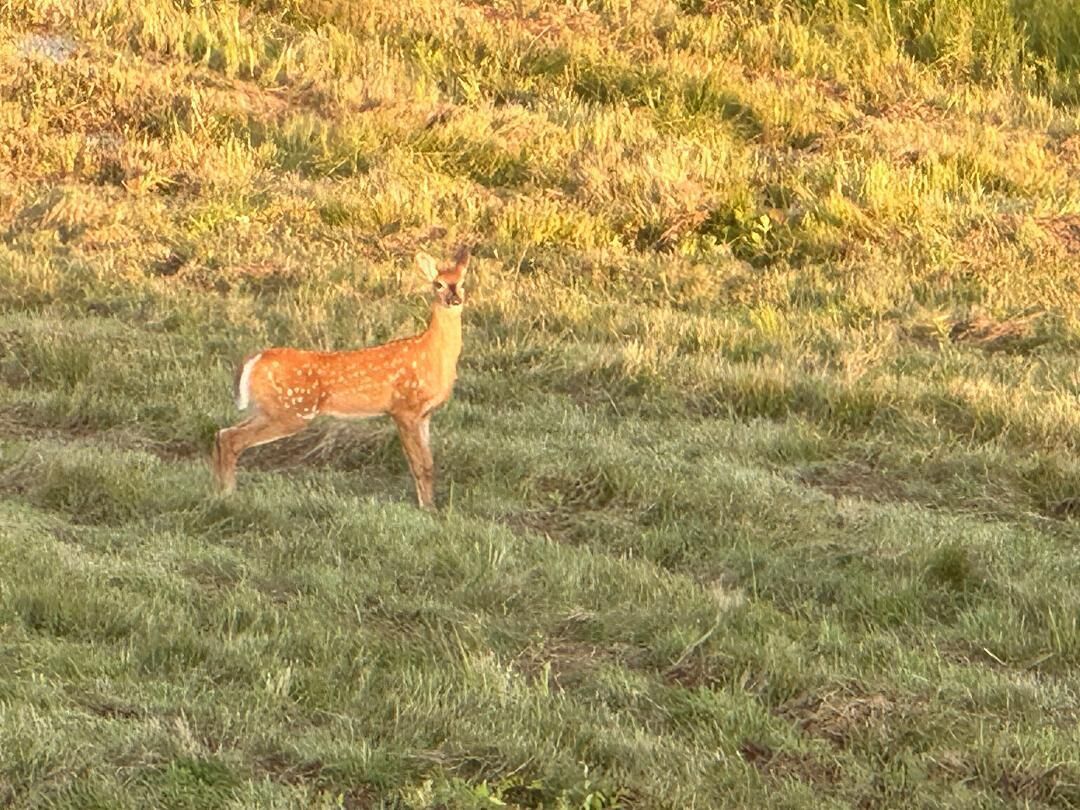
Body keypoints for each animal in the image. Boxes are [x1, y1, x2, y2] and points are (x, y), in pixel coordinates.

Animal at [211, 246, 471, 510]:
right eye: (438, 284)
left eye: (462, 282)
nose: (454, 299)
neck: (431, 354)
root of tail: (255, 358)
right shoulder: (404, 409)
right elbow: (418, 465)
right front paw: (427, 507)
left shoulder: (424, 414)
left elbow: (429, 464)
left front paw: (432, 506)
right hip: (291, 411)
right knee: (232, 438)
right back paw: (228, 494)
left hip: (267, 409)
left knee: (222, 433)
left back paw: (220, 491)